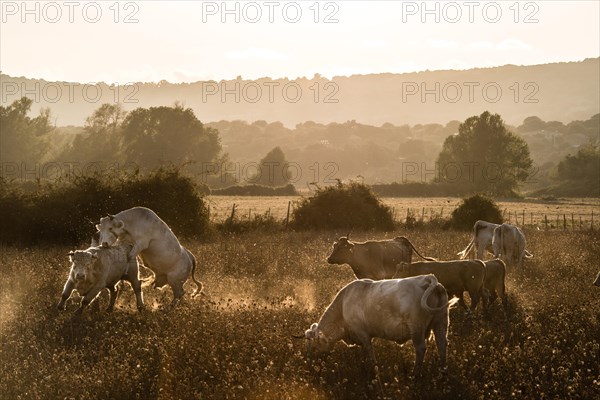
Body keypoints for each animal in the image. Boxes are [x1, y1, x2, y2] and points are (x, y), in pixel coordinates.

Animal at [302, 276, 458, 376]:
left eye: (313, 345)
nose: (308, 360)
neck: (343, 304)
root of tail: (427, 278)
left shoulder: (362, 333)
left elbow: (369, 351)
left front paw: (373, 370)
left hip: (416, 328)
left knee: (420, 348)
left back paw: (415, 374)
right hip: (441, 321)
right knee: (442, 344)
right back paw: (443, 372)